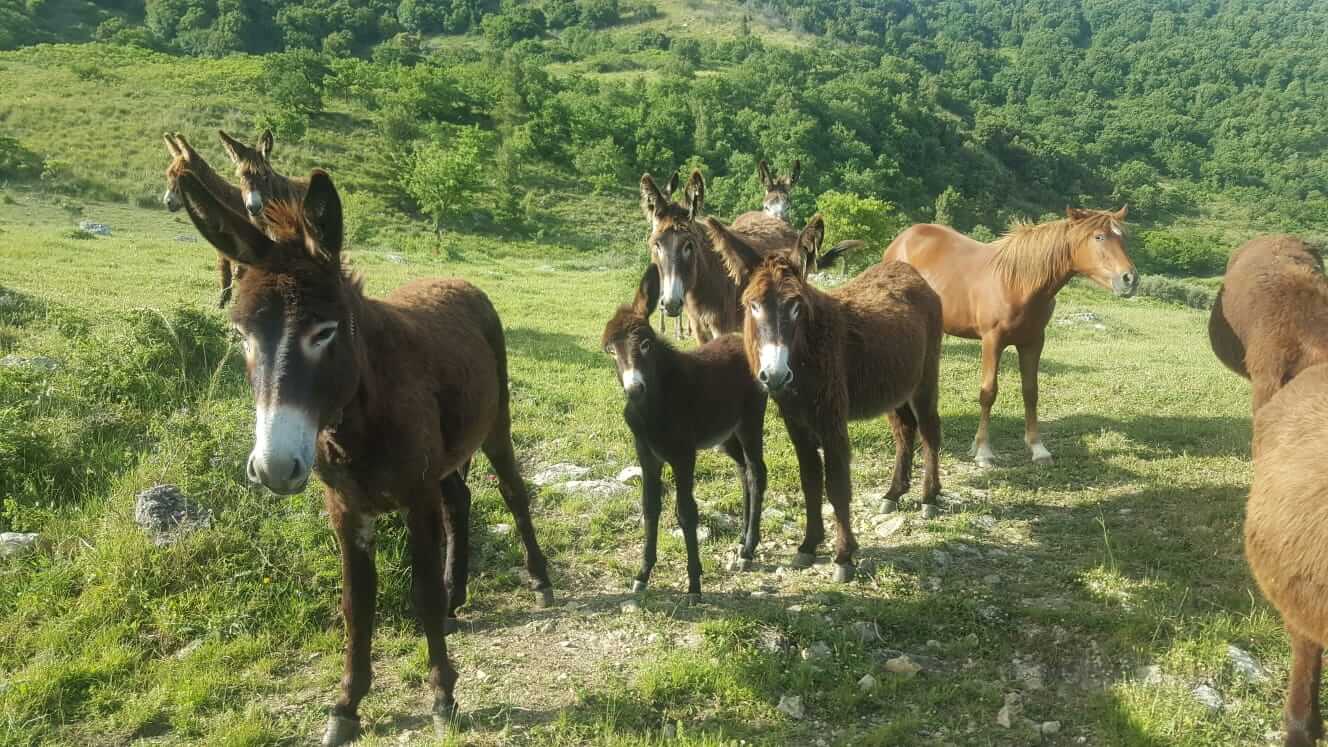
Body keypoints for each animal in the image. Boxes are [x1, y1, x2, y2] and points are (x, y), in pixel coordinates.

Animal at [173, 165, 552, 739]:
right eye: (242, 334)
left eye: (325, 332)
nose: (274, 468)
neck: (357, 419)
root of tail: (459, 280)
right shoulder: (346, 509)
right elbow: (356, 604)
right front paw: (346, 706)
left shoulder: (414, 498)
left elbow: (419, 592)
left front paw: (443, 696)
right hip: (444, 460)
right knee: (459, 501)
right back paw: (456, 598)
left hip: (495, 426)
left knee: (513, 492)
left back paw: (539, 581)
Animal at [717, 213, 945, 576]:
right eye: (752, 305)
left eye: (796, 307)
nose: (775, 375)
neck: (805, 353)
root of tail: (909, 272)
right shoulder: (796, 422)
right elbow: (810, 480)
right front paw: (808, 545)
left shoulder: (831, 419)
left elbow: (837, 484)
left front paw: (843, 556)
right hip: (893, 386)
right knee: (905, 430)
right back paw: (894, 493)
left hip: (924, 379)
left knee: (929, 430)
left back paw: (929, 498)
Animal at [887, 207, 1136, 465]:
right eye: (1099, 237)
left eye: (1123, 238)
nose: (1130, 279)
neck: (1018, 283)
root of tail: (902, 239)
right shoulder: (992, 341)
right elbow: (988, 393)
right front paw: (983, 450)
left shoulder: (1033, 342)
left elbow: (1031, 391)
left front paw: (1038, 448)